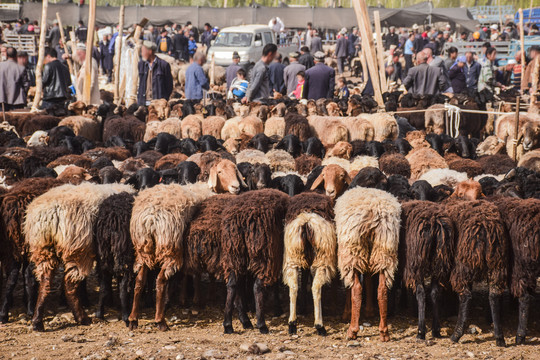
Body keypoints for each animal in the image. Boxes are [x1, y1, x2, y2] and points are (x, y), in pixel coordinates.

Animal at [24, 183, 135, 332]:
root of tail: (51, 213)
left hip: (43, 248)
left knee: (45, 282)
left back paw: (37, 321)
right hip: (78, 250)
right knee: (69, 285)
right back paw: (82, 318)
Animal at [129, 183, 215, 330]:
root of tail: (150, 218)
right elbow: (196, 275)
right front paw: (196, 300)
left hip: (144, 248)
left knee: (140, 280)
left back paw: (133, 319)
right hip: (170, 248)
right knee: (160, 280)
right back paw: (160, 321)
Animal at [219, 190, 288, 334]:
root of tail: (241, 218)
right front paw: (277, 309)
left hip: (234, 252)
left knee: (232, 285)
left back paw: (231, 324)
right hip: (263, 252)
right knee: (257, 286)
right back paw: (261, 324)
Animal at [284, 193, 336, 336]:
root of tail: (306, 221)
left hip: (293, 254)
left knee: (293, 286)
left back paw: (292, 324)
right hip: (322, 257)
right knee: (316, 287)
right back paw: (320, 325)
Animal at [336, 187, 402, 342]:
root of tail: (373, 211)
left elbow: (350, 286)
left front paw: (346, 314)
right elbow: (368, 279)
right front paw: (370, 311)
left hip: (352, 249)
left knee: (357, 289)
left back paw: (352, 330)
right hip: (385, 248)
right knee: (382, 289)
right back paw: (384, 332)